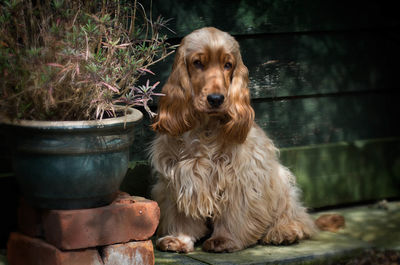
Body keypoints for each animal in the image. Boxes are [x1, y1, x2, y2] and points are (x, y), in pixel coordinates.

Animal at [150, 26, 316, 252]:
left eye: (228, 65)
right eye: (197, 63)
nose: (216, 99)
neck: (206, 127)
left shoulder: (239, 175)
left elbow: (233, 213)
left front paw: (224, 240)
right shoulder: (178, 174)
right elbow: (181, 214)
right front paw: (178, 239)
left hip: (280, 181)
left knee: (297, 214)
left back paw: (284, 231)